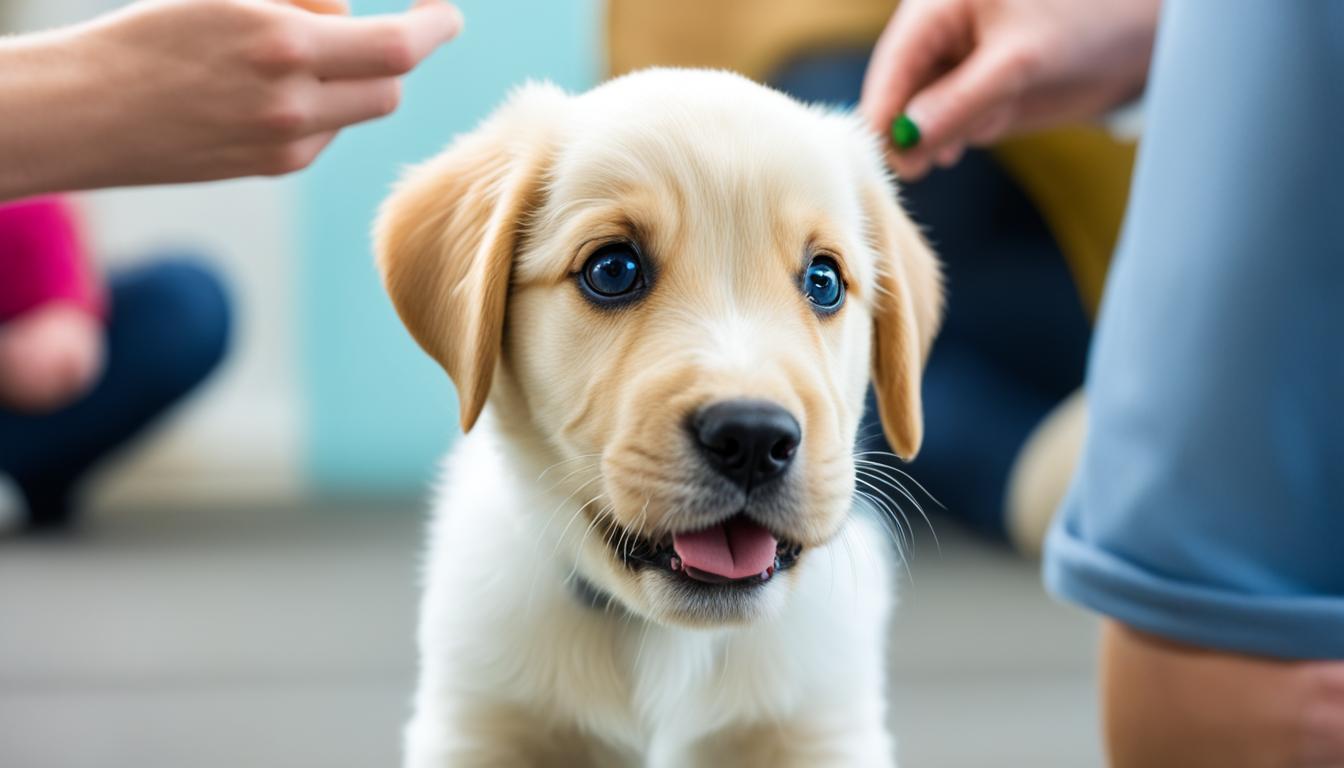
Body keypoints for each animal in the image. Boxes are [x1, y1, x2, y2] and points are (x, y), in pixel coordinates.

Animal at [379, 69, 940, 763]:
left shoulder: (823, 731)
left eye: (824, 281)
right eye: (613, 269)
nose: (753, 438)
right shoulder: (477, 727)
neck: (669, 641)